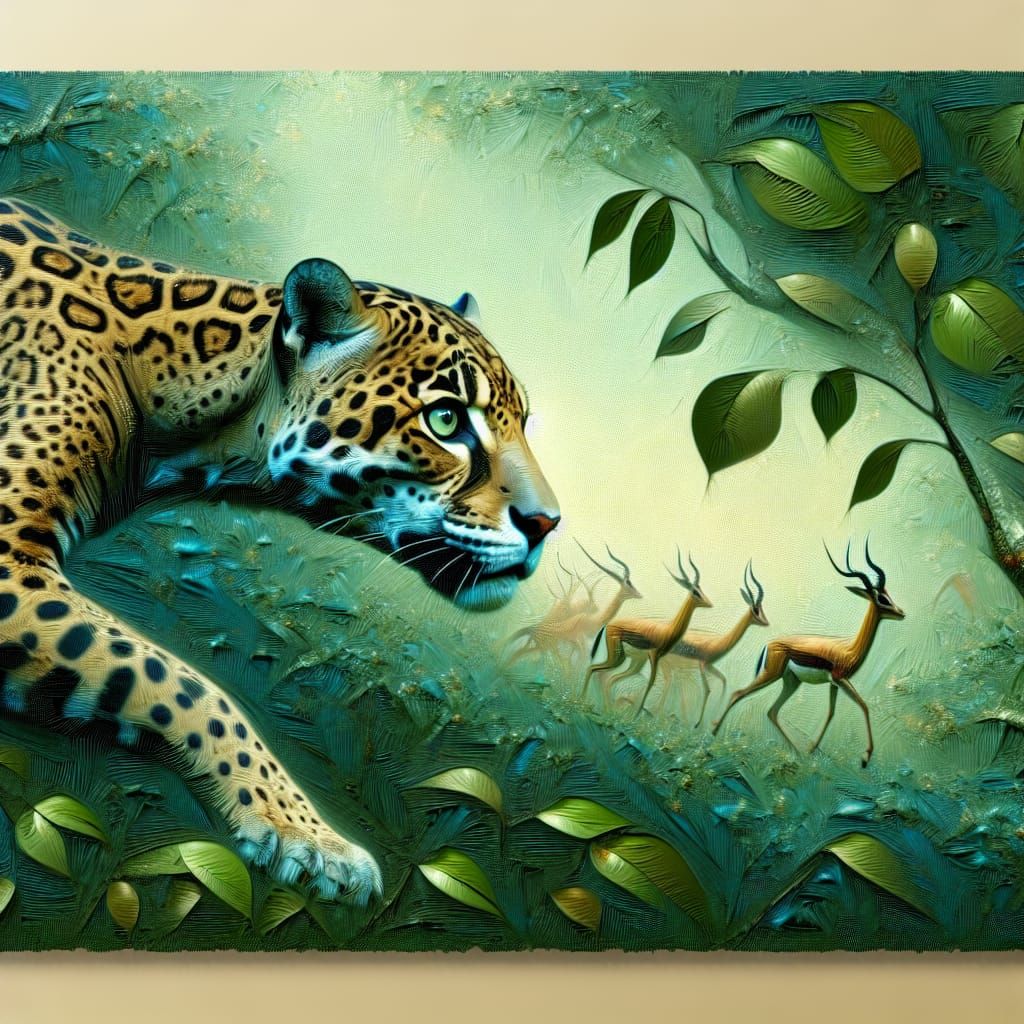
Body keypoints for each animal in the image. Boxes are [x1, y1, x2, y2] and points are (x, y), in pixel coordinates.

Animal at [0, 196, 560, 904]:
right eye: (445, 420)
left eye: (523, 422)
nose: (547, 523)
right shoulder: (9, 559)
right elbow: (175, 679)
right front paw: (305, 836)